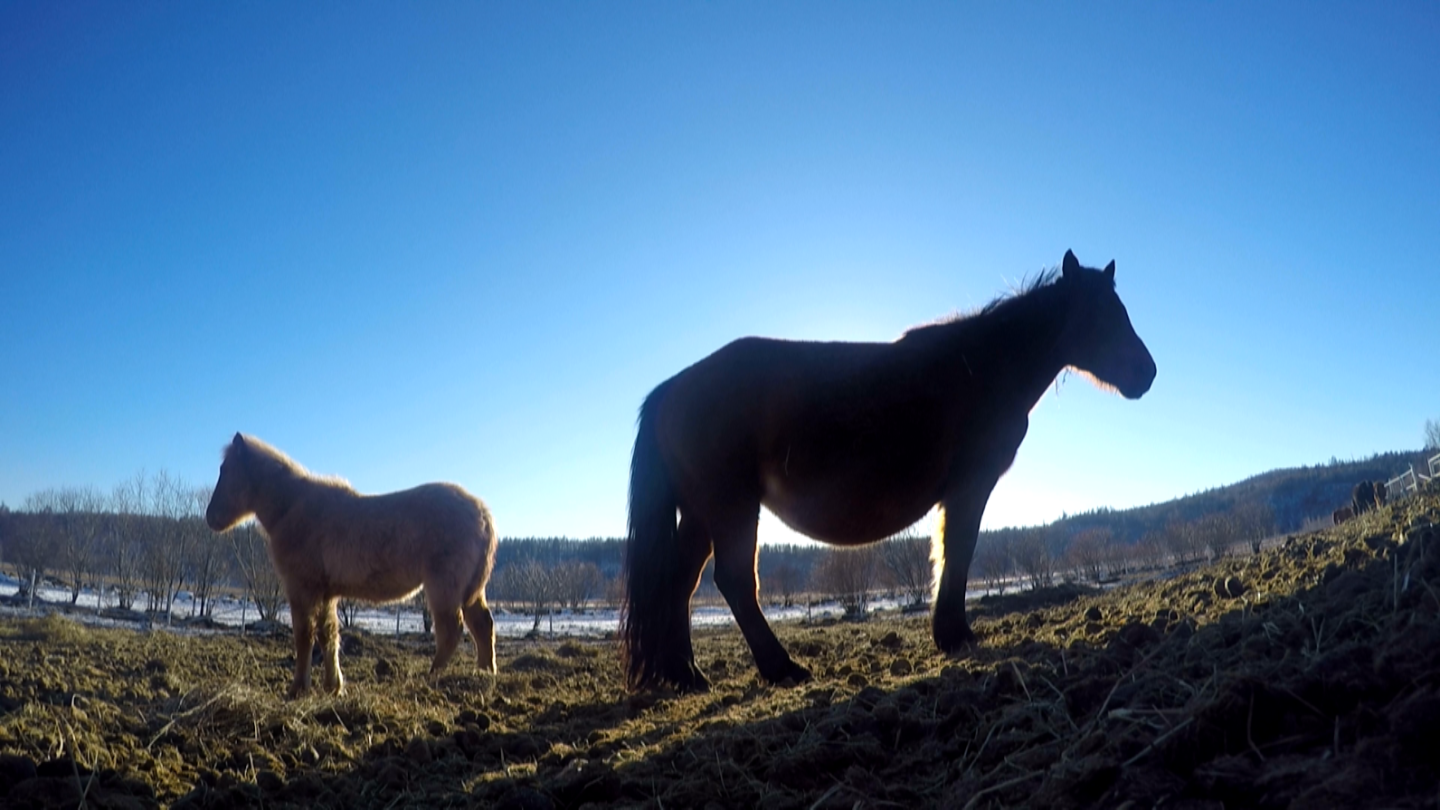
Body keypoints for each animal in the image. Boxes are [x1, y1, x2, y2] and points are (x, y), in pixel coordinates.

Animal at [622, 250, 1157, 686]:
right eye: (1098, 315)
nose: (1146, 373)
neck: (981, 366)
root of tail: (670, 389)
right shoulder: (970, 486)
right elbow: (958, 552)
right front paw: (953, 634)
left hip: (701, 513)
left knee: (679, 582)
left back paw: (687, 674)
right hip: (730, 507)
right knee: (733, 582)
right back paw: (781, 668)